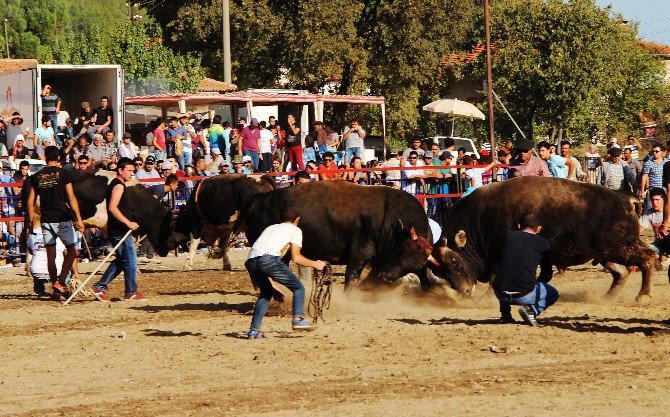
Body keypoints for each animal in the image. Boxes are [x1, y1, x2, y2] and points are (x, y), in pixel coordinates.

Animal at [436, 176, 660, 302]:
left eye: (455, 263)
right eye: (440, 270)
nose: (464, 292)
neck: (481, 220)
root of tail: (625, 198)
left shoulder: (500, 257)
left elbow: (495, 279)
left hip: (620, 249)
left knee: (648, 258)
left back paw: (643, 295)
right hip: (606, 253)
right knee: (622, 272)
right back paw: (607, 297)